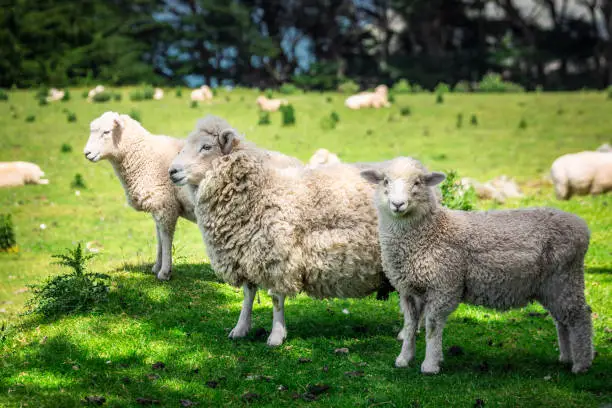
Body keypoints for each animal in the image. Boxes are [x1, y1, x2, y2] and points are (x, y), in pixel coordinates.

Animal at [83, 111, 197, 280]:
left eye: (106, 132)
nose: (87, 153)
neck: (145, 156)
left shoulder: (165, 205)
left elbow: (166, 237)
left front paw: (165, 272)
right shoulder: (159, 207)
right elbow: (159, 237)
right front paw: (157, 266)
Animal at [167, 115, 388, 348]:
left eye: (206, 147)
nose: (172, 171)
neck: (260, 190)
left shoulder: (279, 257)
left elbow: (276, 299)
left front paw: (276, 335)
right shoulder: (245, 254)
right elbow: (248, 294)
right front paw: (240, 328)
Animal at [364, 158, 592, 374]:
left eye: (417, 182)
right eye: (385, 181)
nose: (398, 204)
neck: (429, 232)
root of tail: (582, 226)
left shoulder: (444, 286)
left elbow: (432, 327)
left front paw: (430, 364)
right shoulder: (409, 291)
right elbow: (410, 325)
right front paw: (404, 359)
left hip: (565, 277)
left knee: (580, 316)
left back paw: (581, 364)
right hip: (551, 286)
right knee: (562, 320)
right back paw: (566, 358)